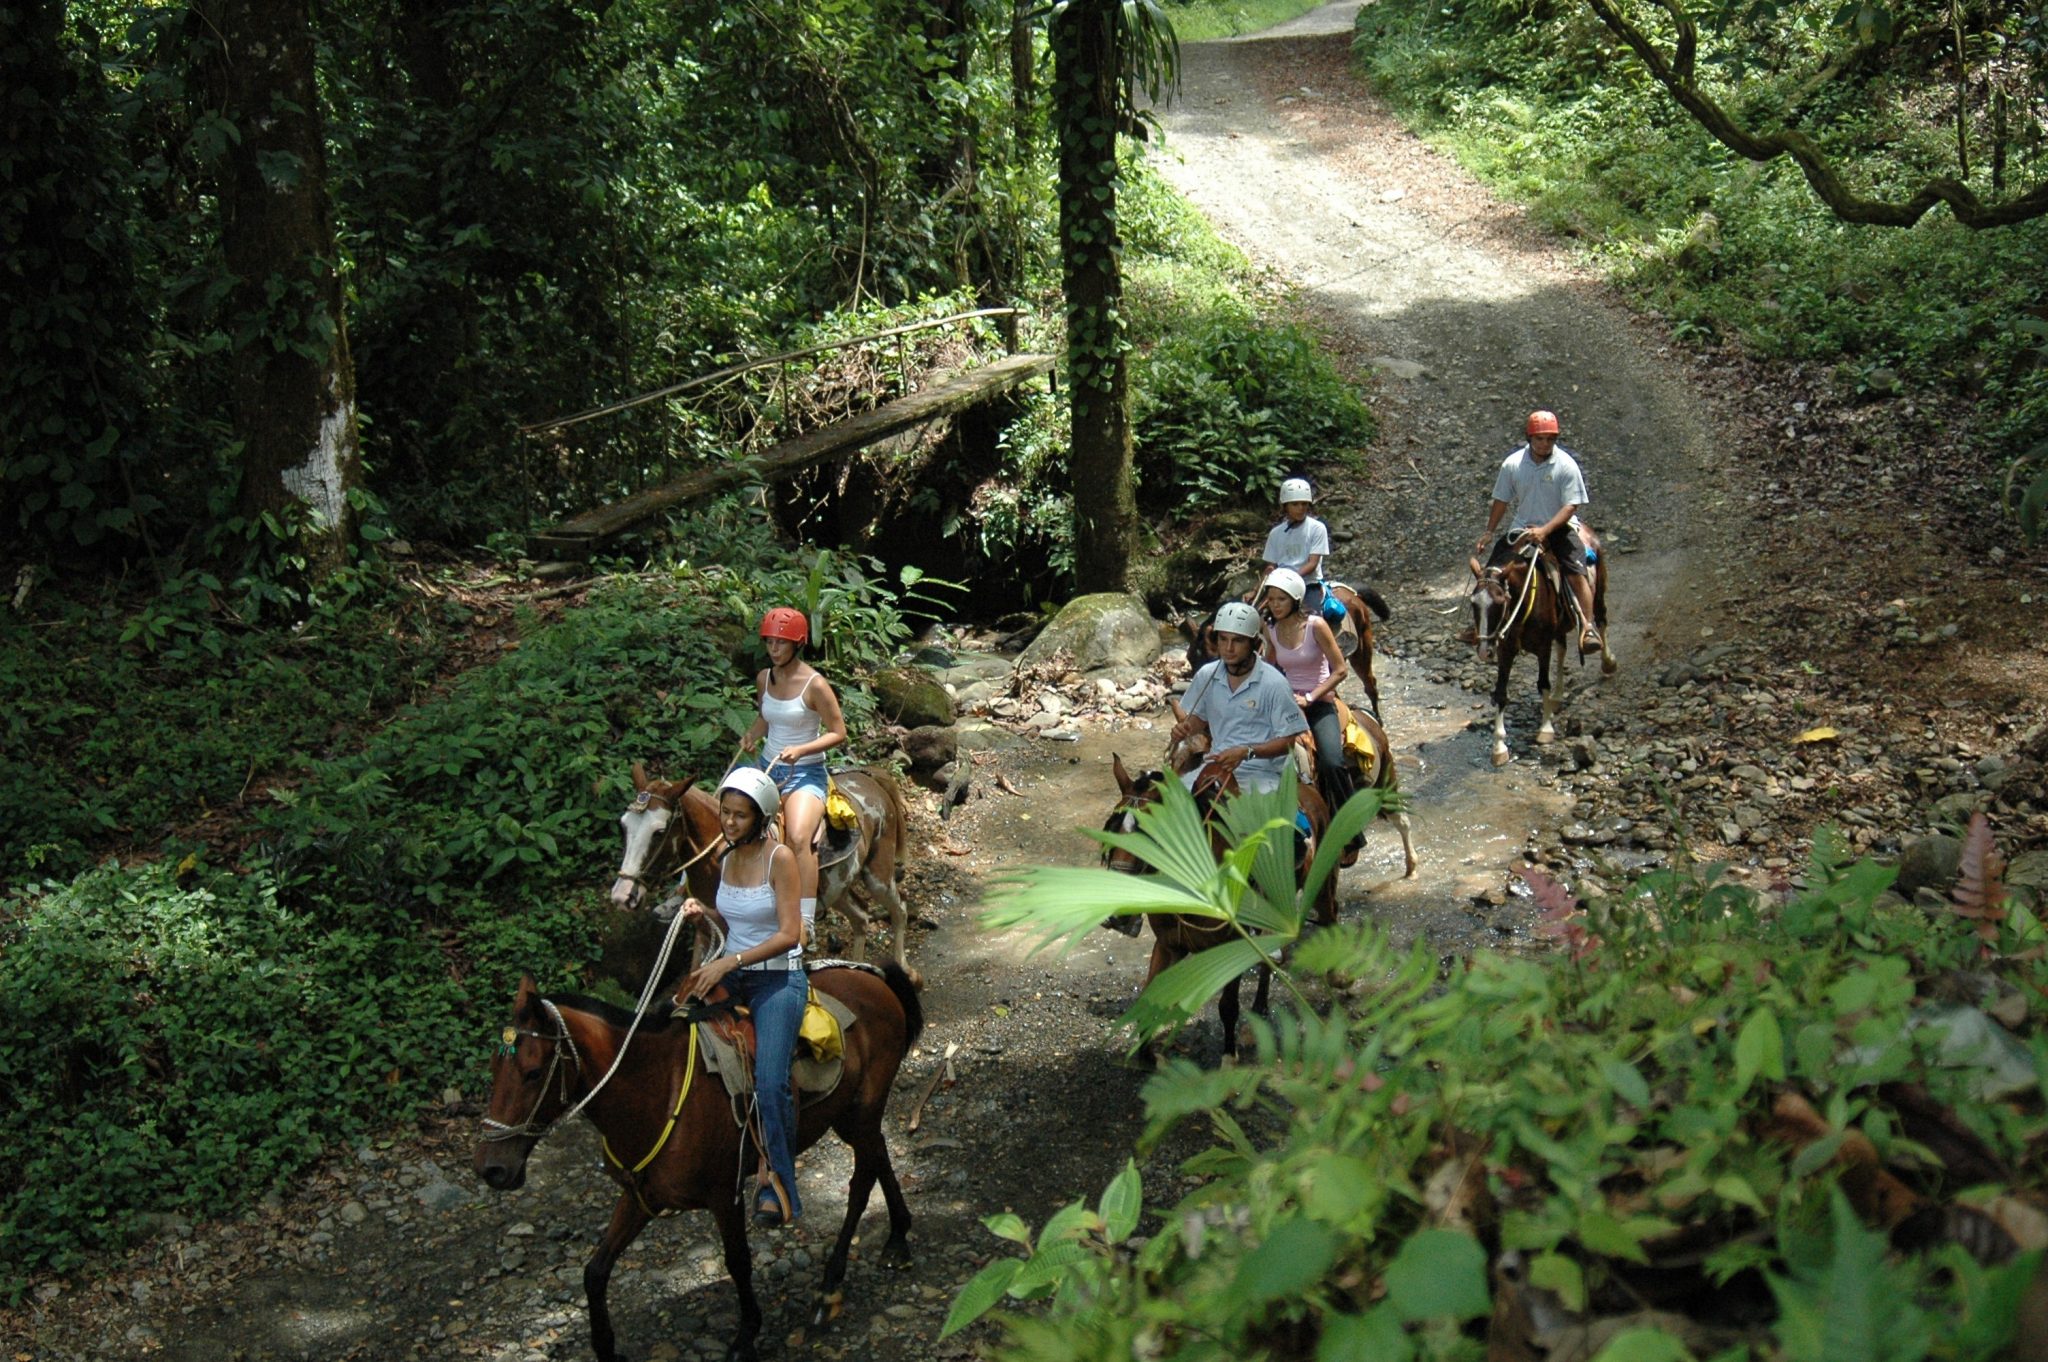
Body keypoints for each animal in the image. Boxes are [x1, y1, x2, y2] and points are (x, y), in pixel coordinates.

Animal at [471, 954, 921, 1359]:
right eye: (493, 1067)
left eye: (533, 1073)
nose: (492, 1168)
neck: (656, 1091)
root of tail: (874, 977)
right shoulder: (640, 1197)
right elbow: (594, 1272)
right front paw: (606, 1348)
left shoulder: (724, 1194)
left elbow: (738, 1261)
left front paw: (746, 1336)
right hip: (850, 1117)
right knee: (879, 1155)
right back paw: (898, 1237)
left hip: (862, 1111)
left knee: (861, 1183)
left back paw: (830, 1286)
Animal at [1474, 536, 1613, 765]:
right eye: (1473, 603)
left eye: (1500, 601)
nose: (1485, 650)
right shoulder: (1506, 649)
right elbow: (1501, 693)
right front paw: (1499, 747)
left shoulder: (1542, 646)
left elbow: (1542, 683)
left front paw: (1546, 729)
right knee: (1562, 649)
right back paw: (1558, 695)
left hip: (1599, 589)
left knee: (1601, 619)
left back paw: (1608, 661)